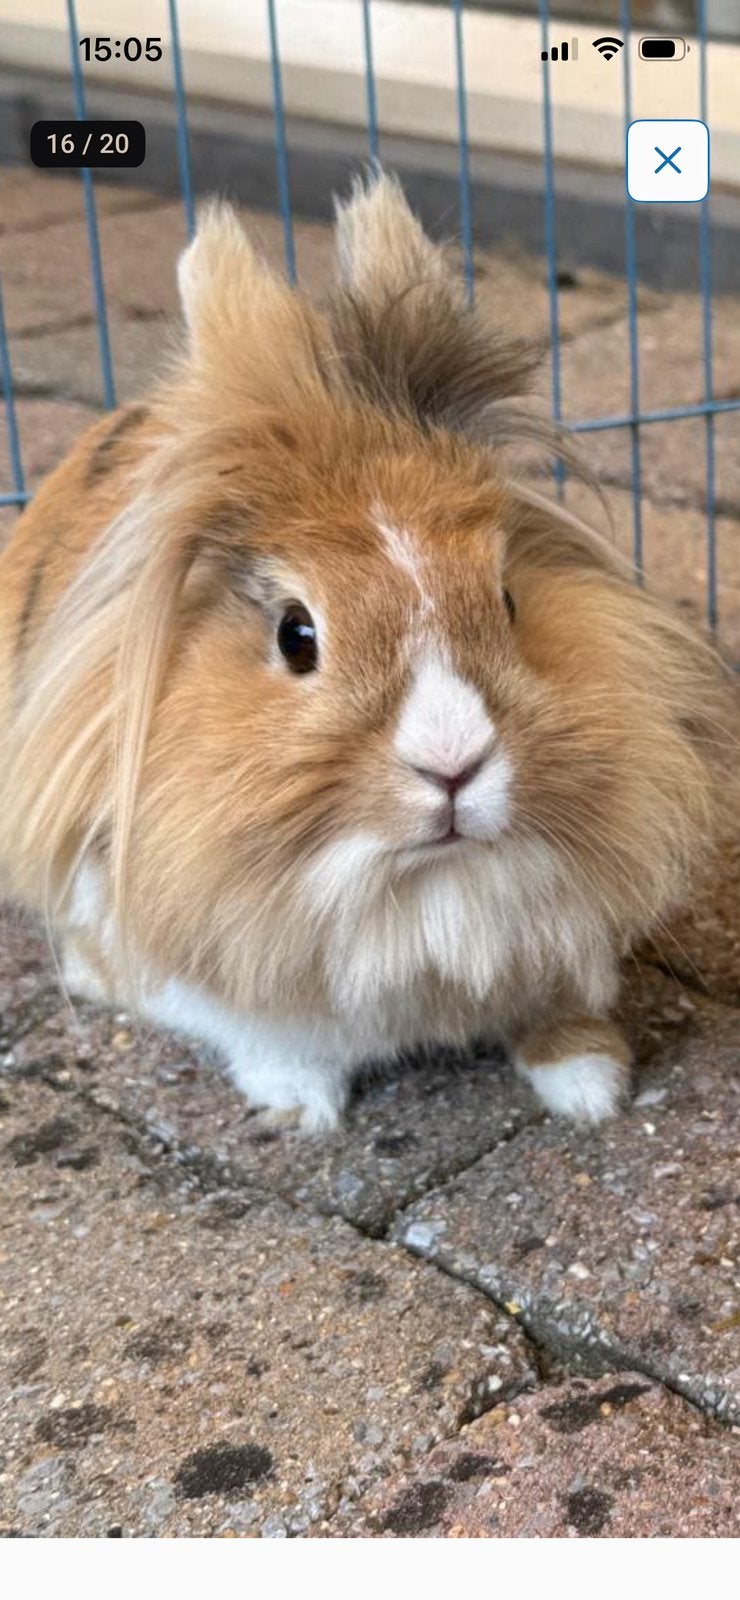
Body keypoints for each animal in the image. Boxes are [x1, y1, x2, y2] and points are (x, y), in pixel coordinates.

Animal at [0, 172, 736, 1132]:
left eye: (507, 598)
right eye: (296, 634)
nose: (453, 764)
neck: (424, 892)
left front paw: (590, 1085)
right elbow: (266, 1032)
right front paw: (300, 1110)